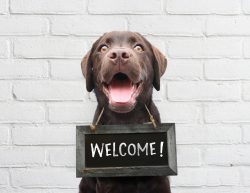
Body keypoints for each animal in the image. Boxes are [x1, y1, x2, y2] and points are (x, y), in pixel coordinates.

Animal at [79, 31, 171, 193]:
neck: (125, 120)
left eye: (139, 47)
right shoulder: (106, 183)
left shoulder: (161, 180)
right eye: (103, 48)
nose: (119, 55)